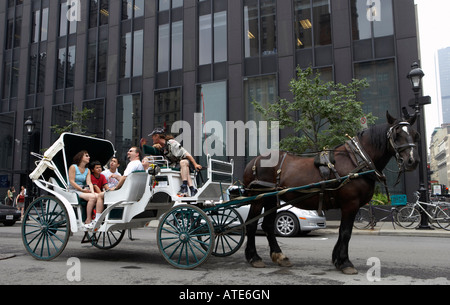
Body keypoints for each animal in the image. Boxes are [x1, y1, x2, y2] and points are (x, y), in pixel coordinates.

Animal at [244, 111, 420, 274]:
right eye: (397, 135)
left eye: (415, 135)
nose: (412, 161)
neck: (358, 160)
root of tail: (254, 160)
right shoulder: (350, 204)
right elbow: (346, 232)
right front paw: (345, 263)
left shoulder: (349, 206)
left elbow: (343, 232)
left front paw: (337, 259)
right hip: (258, 198)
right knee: (251, 224)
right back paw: (254, 257)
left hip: (271, 199)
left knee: (267, 225)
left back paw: (280, 256)